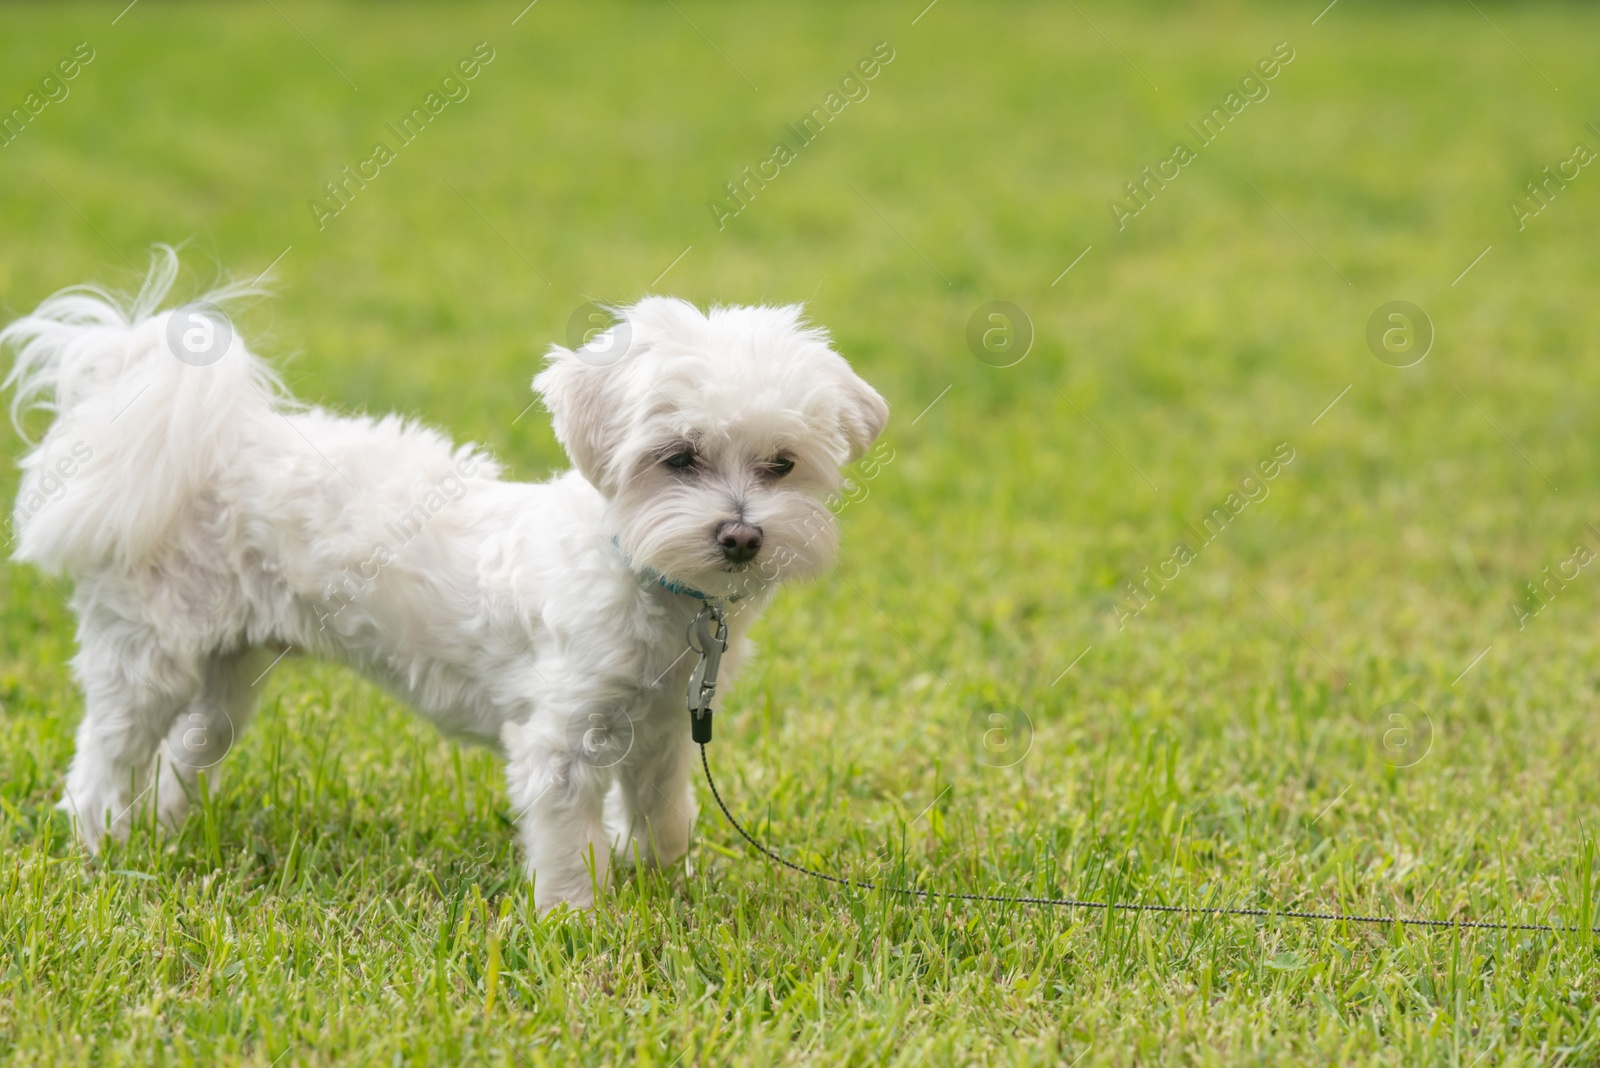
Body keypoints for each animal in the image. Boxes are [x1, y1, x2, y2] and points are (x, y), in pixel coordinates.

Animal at [3, 251, 889, 908]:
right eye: (679, 458)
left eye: (782, 465)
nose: (741, 535)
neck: (641, 574)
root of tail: (209, 443)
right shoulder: (562, 741)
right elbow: (570, 850)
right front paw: (575, 925)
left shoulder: (666, 729)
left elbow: (662, 817)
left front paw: (666, 885)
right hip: (148, 655)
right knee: (106, 757)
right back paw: (99, 844)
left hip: (227, 675)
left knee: (183, 755)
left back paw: (166, 833)